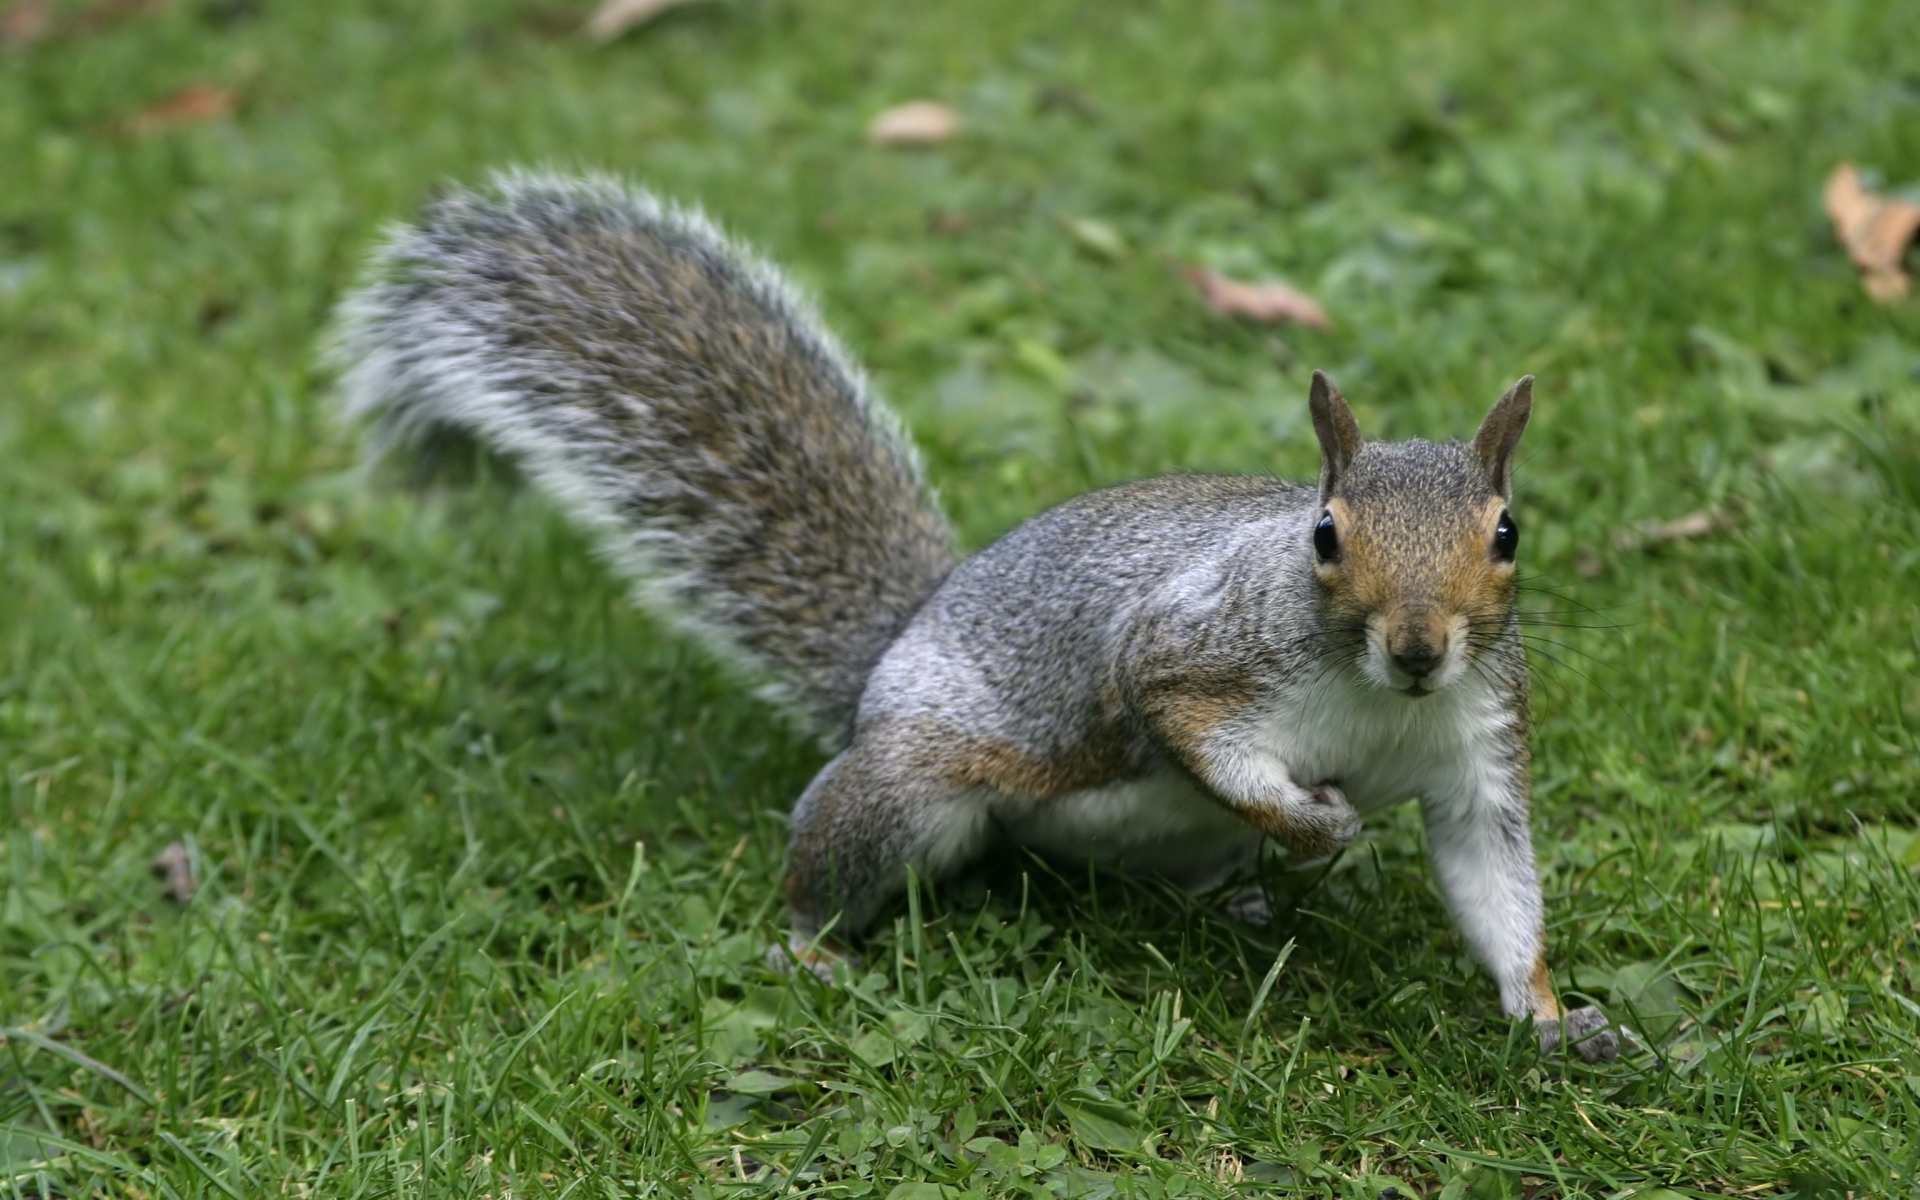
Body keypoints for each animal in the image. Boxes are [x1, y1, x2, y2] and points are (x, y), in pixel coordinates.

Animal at [330, 170, 1619, 1061]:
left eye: (1508, 535)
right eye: (1326, 535)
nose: (1419, 647)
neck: (1376, 701)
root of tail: (883, 662)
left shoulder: (1478, 752)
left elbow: (1495, 889)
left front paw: (1553, 1019)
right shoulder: (1187, 655)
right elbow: (1193, 732)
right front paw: (1318, 826)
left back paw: (1245, 902)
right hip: (907, 791)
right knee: (839, 861)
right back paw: (809, 948)